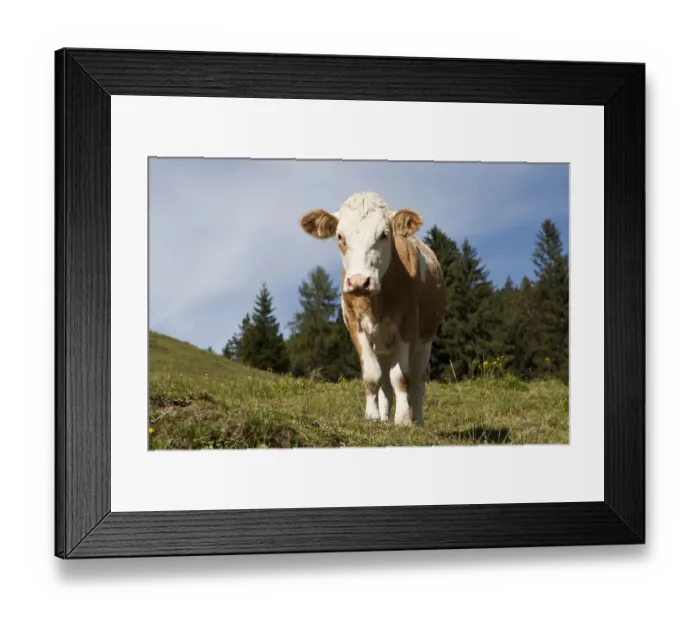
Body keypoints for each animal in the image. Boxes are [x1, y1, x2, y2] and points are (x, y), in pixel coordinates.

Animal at [299, 191, 445, 427]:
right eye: (340, 236)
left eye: (384, 234)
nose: (359, 281)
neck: (376, 303)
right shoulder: (355, 325)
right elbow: (371, 376)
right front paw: (373, 416)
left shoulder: (407, 325)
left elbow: (401, 377)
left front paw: (403, 419)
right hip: (382, 346)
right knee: (384, 382)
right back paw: (384, 417)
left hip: (425, 342)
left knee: (417, 381)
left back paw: (417, 421)